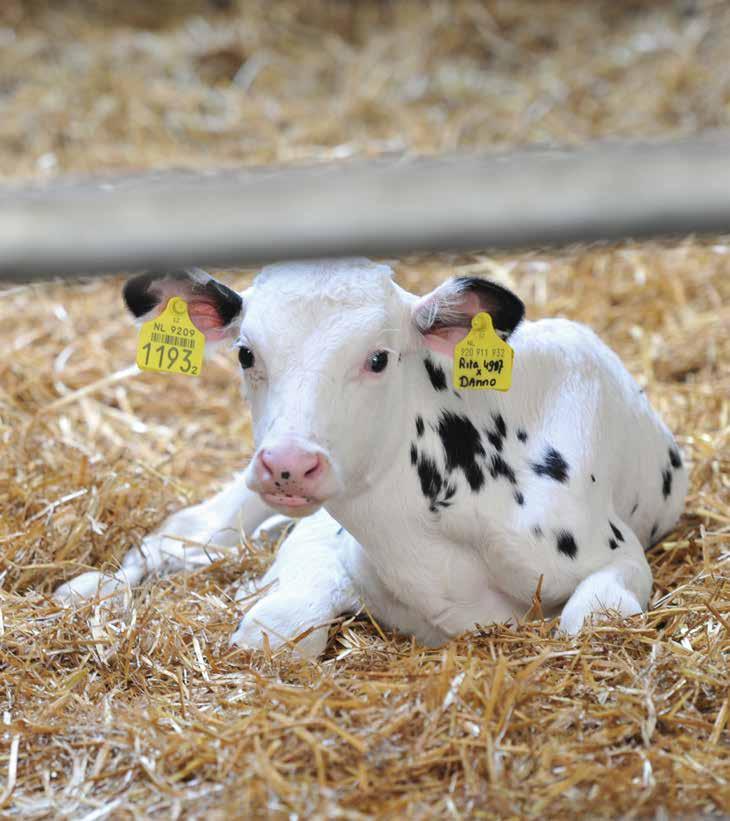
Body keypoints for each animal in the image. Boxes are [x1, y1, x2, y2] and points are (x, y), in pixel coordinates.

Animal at [54, 260, 684, 656]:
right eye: (245, 353)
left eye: (379, 358)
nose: (287, 463)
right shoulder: (318, 543)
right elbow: (271, 628)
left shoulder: (618, 560)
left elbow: (590, 619)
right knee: (178, 539)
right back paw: (91, 590)